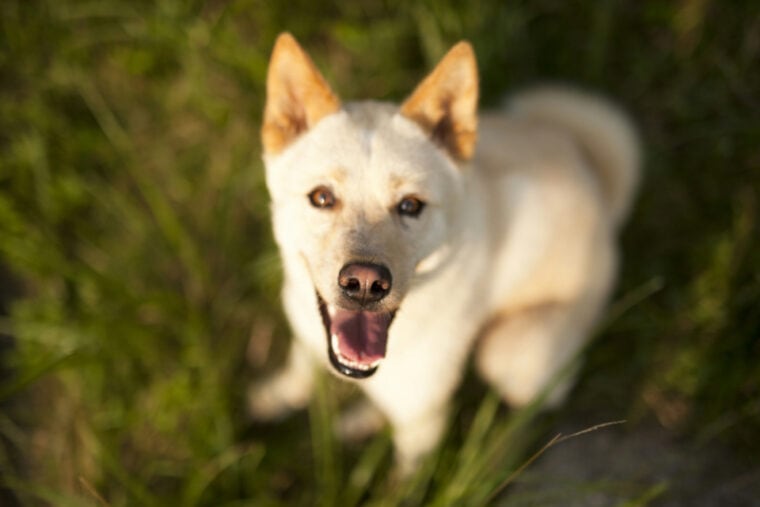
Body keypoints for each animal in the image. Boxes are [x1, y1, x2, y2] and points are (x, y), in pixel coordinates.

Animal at [248, 33, 636, 474]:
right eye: (322, 197)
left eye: (410, 205)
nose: (364, 283)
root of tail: (600, 191)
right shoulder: (306, 333)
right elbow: (299, 371)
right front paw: (274, 397)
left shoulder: (424, 429)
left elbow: (405, 480)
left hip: (509, 351)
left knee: (535, 406)